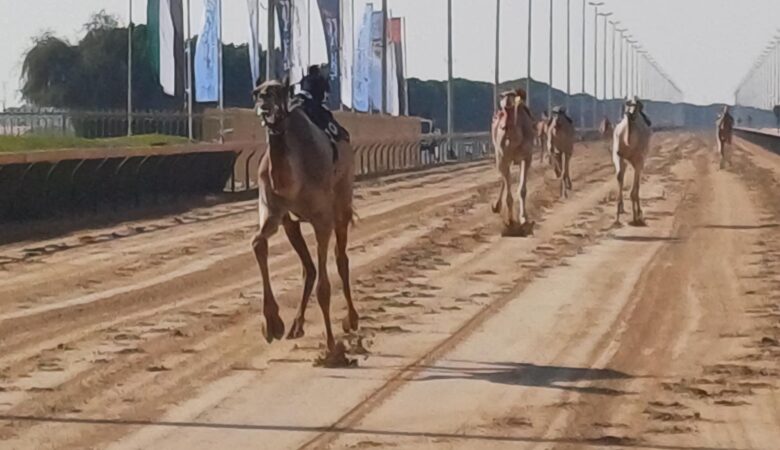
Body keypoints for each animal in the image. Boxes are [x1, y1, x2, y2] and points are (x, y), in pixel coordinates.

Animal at [251, 79, 358, 356]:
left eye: (278, 89)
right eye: (257, 92)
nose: (264, 100)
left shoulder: (323, 218)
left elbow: (325, 286)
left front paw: (331, 346)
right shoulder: (273, 211)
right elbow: (258, 243)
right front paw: (272, 325)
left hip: (342, 200)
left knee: (341, 258)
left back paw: (351, 320)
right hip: (292, 223)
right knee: (308, 267)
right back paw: (295, 326)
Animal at [494, 88, 536, 236]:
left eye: (512, 96)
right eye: (502, 97)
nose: (503, 127)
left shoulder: (527, 158)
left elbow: (522, 190)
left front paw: (524, 218)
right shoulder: (503, 158)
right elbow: (509, 193)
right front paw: (511, 221)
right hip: (499, 158)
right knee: (503, 177)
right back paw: (496, 206)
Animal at [608, 97, 652, 227]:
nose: (648, 121)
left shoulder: (627, 159)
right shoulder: (639, 161)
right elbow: (636, 186)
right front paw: (638, 214)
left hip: (620, 157)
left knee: (620, 176)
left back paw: (619, 213)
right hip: (635, 159)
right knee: (632, 187)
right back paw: (635, 215)